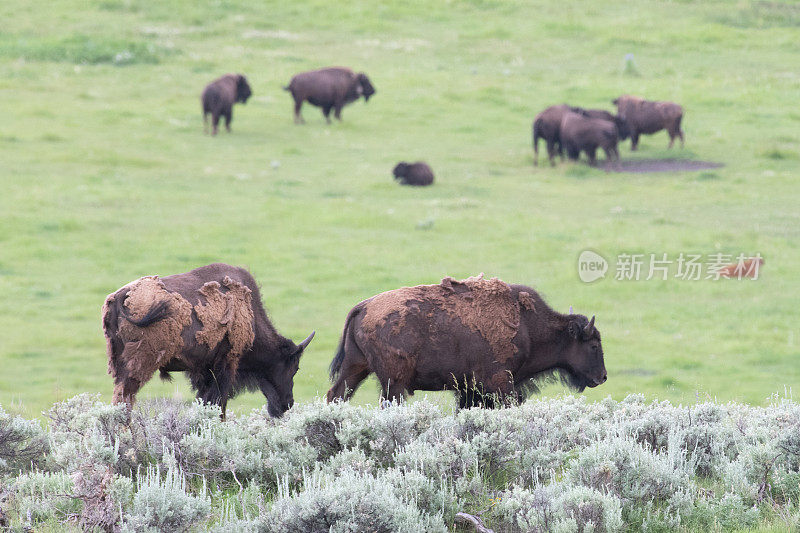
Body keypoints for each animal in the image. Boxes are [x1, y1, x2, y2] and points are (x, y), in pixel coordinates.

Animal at [100, 264, 312, 418]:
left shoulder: (203, 371)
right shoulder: (225, 366)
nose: (287, 404)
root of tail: (120, 298)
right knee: (125, 400)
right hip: (139, 367)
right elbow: (219, 405)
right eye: (294, 367)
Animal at [324, 274, 608, 408]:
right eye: (593, 346)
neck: (529, 327)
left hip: (356, 368)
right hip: (394, 382)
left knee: (335, 395)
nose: (603, 376)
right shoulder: (500, 384)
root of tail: (363, 307)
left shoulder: (471, 390)